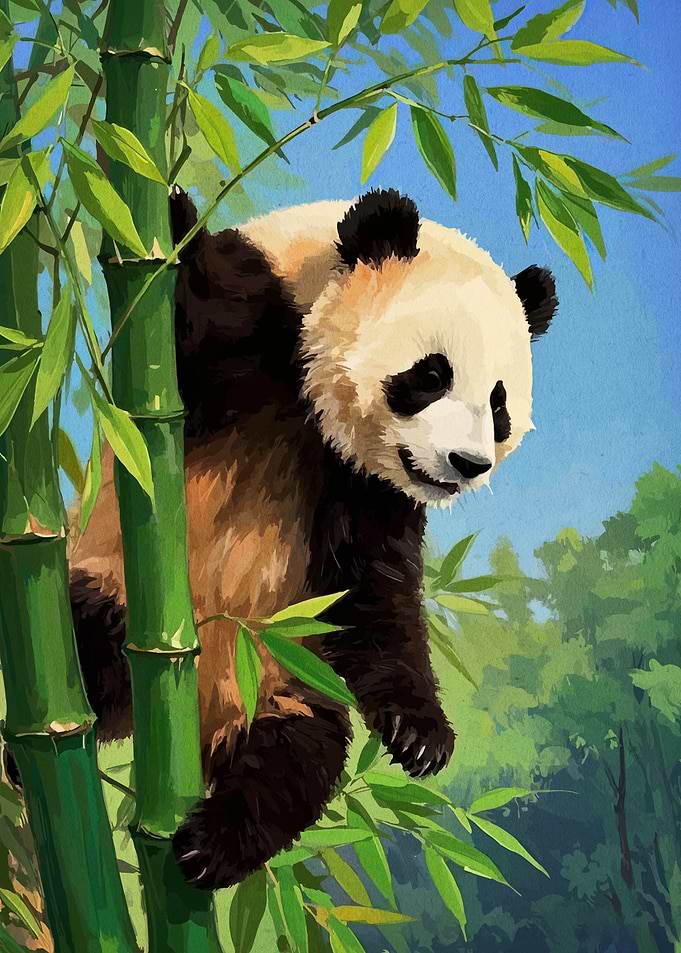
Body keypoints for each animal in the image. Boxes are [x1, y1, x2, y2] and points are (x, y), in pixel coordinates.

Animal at [67, 187, 557, 890]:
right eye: (431, 375)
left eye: (498, 404)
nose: (466, 464)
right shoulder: (243, 325)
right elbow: (174, 340)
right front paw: (169, 214)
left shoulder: (363, 486)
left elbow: (372, 591)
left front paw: (420, 735)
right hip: (109, 580)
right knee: (82, 638)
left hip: (284, 678)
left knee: (299, 757)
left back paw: (210, 845)